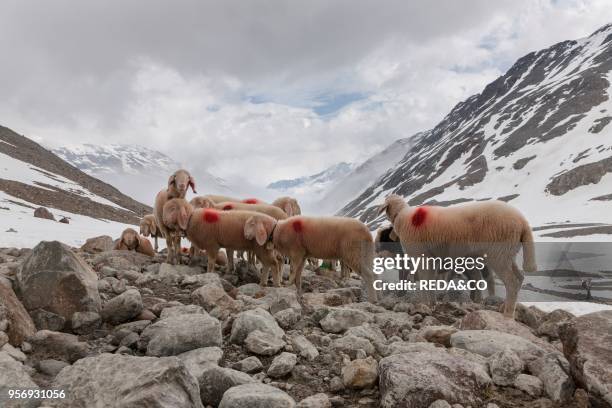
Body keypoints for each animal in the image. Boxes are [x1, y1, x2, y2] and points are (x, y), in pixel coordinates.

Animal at [378, 194, 536, 318]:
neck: (403, 216)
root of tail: (523, 222)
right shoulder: (431, 259)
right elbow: (430, 281)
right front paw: (432, 303)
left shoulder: (420, 256)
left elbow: (424, 281)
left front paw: (426, 303)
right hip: (507, 253)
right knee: (519, 277)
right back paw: (504, 307)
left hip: (498, 254)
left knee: (511, 282)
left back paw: (508, 313)